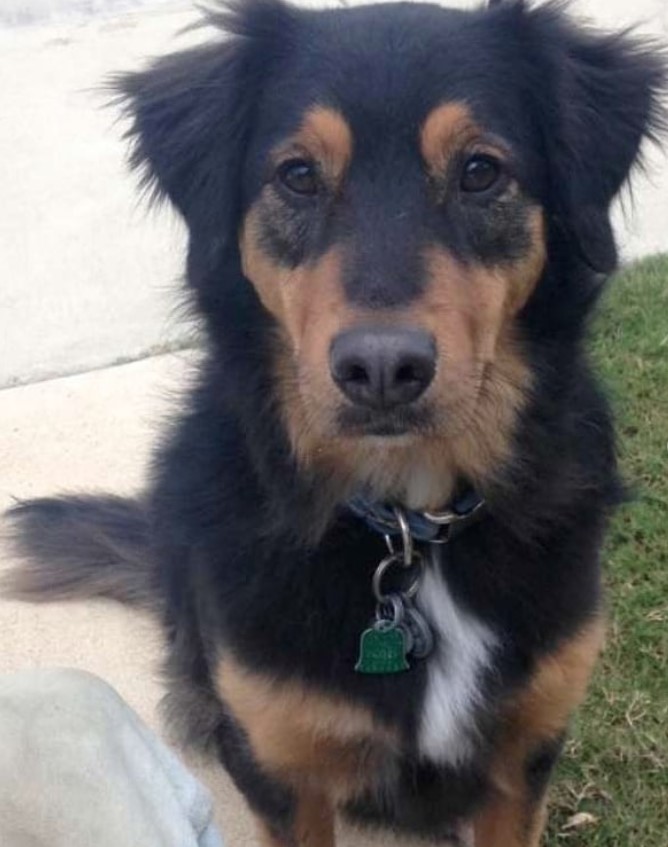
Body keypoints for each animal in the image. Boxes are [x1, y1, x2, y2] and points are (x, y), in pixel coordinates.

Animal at [6, 0, 668, 844]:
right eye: (297, 175)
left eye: (481, 171)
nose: (382, 369)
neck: (407, 527)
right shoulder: (281, 763)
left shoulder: (526, 751)